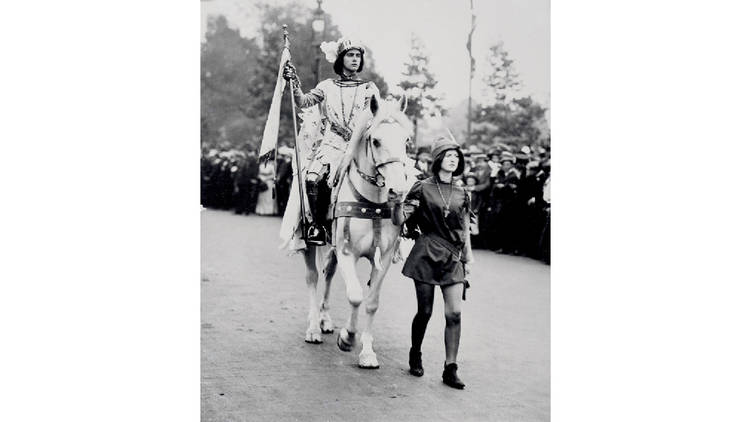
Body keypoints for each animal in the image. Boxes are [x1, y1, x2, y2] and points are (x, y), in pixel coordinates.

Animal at [302, 94, 414, 368]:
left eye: (406, 140)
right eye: (376, 140)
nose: (398, 191)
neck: (371, 203)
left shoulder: (383, 257)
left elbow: (371, 302)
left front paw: (367, 353)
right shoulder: (347, 252)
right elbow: (354, 295)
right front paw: (347, 338)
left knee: (328, 273)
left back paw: (325, 320)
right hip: (309, 240)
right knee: (313, 278)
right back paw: (313, 328)